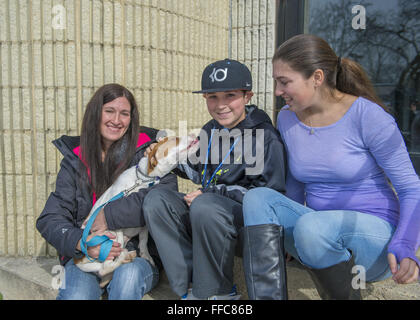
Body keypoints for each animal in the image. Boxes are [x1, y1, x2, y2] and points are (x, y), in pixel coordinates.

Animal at [74, 134, 199, 286]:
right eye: (175, 139)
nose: (195, 135)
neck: (143, 180)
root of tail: (78, 260)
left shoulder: (143, 221)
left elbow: (143, 240)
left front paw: (146, 256)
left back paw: (128, 255)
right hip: (109, 239)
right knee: (105, 267)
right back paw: (124, 255)